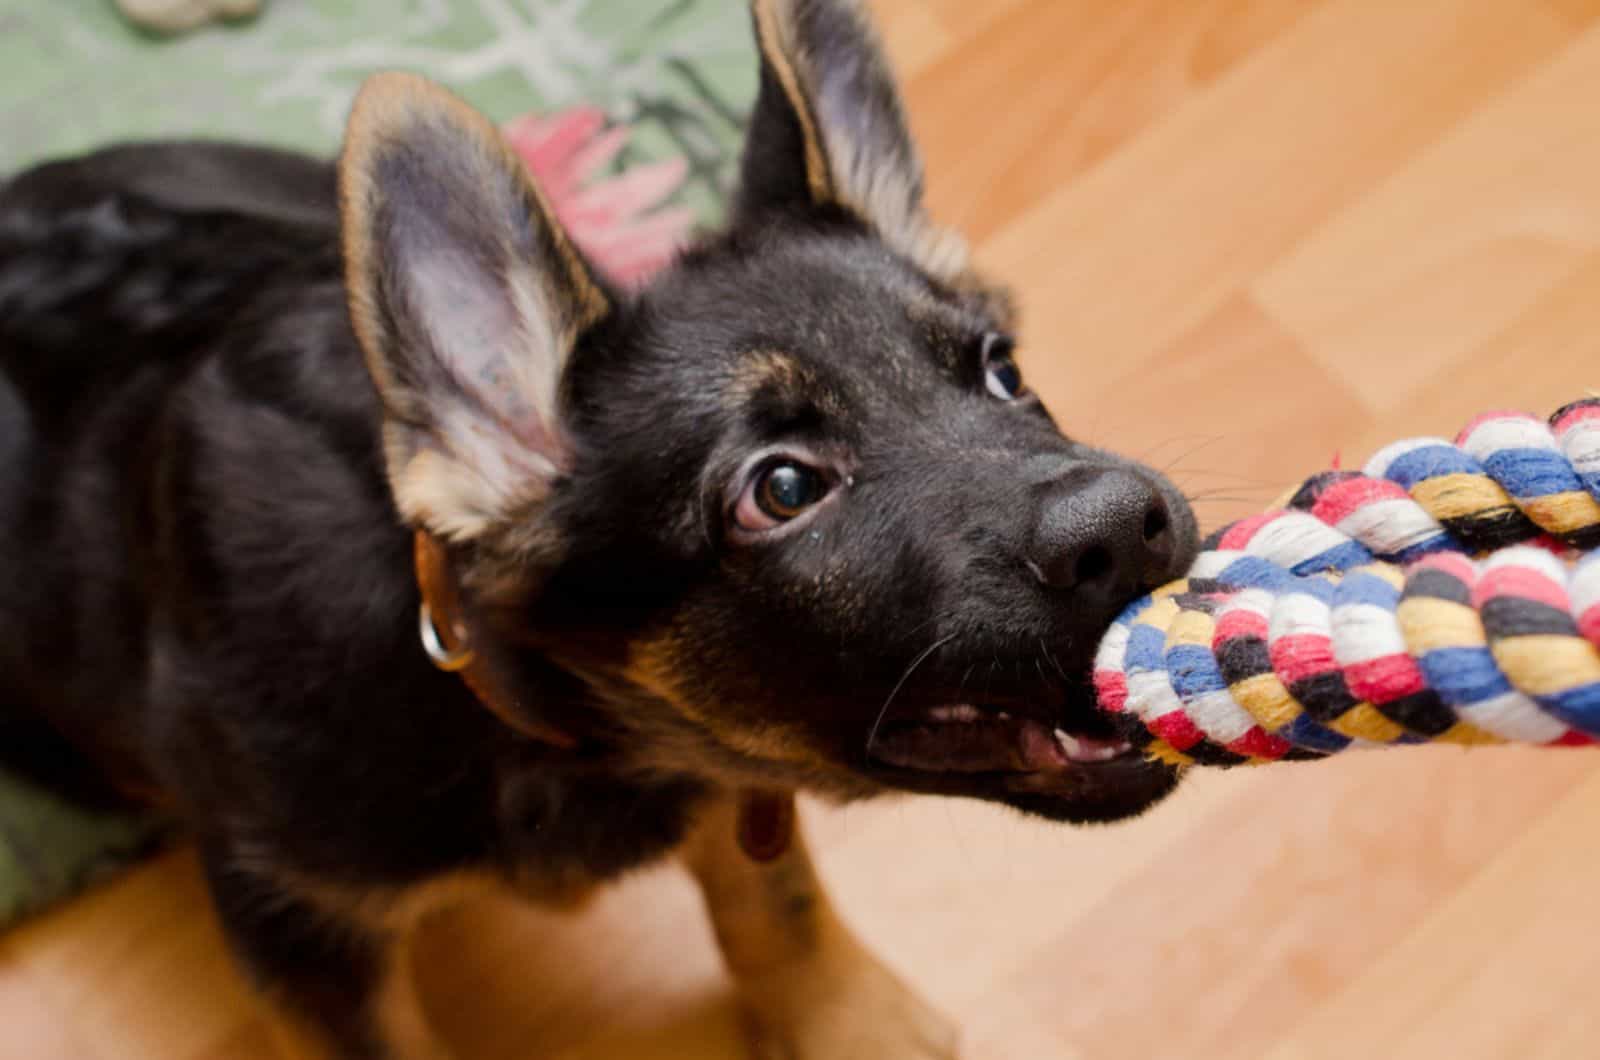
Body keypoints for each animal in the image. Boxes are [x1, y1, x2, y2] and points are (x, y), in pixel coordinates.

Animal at [0, 2, 1203, 1060]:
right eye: (780, 490)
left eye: (1001, 369)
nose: (1131, 528)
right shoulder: (296, 921)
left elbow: (778, 903)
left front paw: (847, 1026)